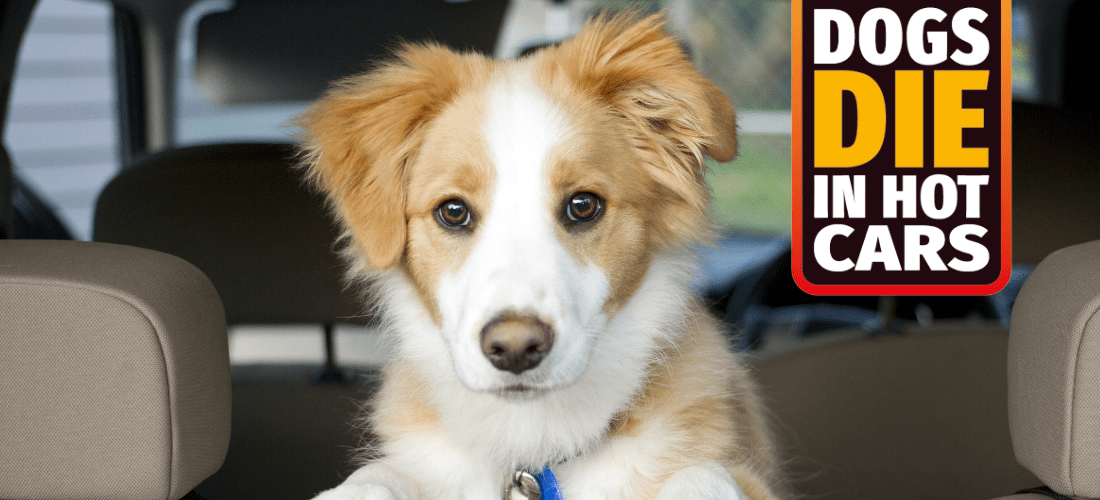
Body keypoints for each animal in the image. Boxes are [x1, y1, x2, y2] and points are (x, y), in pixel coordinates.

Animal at [297, 11, 787, 500]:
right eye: (453, 211)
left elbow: (701, 474)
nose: (515, 349)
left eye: (583, 205)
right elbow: (373, 476)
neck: (532, 446)